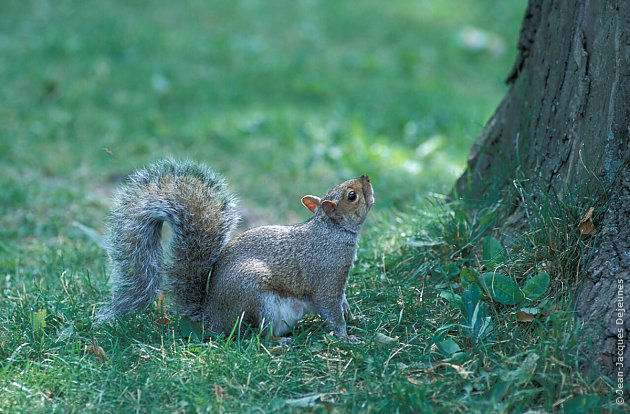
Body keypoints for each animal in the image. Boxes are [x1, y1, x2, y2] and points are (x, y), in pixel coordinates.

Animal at [96, 158, 378, 342]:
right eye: (351, 195)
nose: (366, 177)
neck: (331, 231)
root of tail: (212, 321)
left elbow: (343, 304)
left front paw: (356, 318)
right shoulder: (326, 276)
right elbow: (331, 309)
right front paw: (345, 336)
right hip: (256, 299)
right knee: (259, 336)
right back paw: (279, 342)